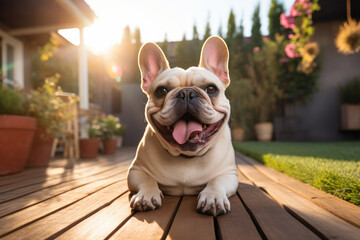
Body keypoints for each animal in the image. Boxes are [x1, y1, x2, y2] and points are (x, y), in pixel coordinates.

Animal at [127, 36, 239, 217]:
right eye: (161, 91)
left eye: (211, 89)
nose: (186, 92)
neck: (187, 157)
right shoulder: (136, 171)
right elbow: (148, 179)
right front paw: (146, 195)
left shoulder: (228, 173)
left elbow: (216, 180)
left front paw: (213, 197)